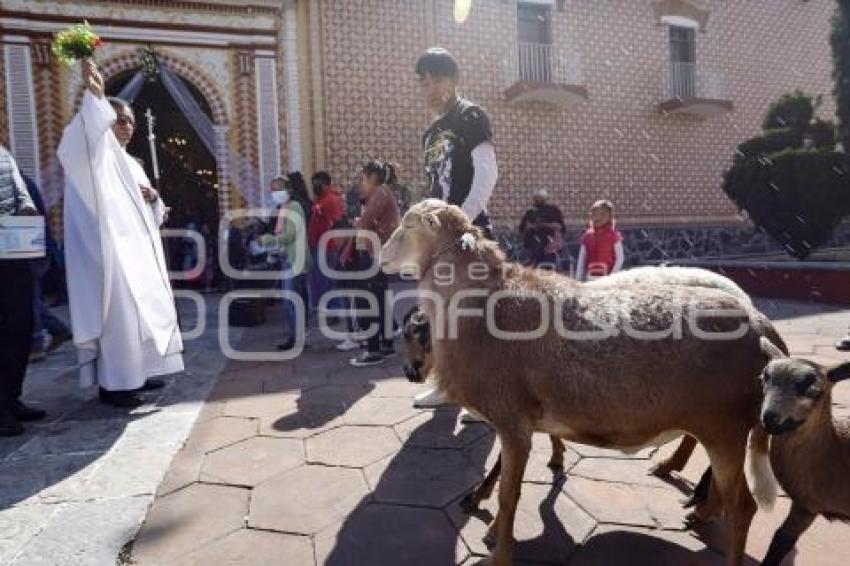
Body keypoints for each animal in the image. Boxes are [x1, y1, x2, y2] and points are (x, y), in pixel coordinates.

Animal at [380, 202, 780, 566]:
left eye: (409, 225)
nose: (381, 255)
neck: (482, 309)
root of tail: (760, 326)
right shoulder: (518, 422)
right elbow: (507, 480)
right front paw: (493, 530)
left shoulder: (513, 423)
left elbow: (509, 497)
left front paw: (501, 550)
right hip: (719, 428)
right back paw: (695, 506)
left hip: (724, 429)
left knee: (742, 507)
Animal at [756, 340, 848, 564]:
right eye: (764, 379)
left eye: (813, 391)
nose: (769, 418)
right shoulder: (803, 503)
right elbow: (782, 537)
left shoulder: (807, 506)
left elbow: (781, 540)